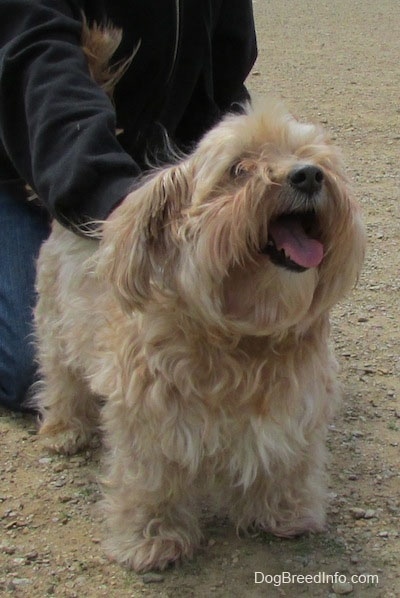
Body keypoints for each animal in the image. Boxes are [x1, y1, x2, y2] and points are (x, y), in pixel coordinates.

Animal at [34, 97, 366, 572]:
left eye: (315, 158)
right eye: (238, 168)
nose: (308, 175)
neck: (243, 337)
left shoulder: (294, 405)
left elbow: (287, 462)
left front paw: (286, 511)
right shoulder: (149, 419)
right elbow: (152, 482)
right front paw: (152, 538)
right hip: (55, 330)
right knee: (60, 380)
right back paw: (64, 430)